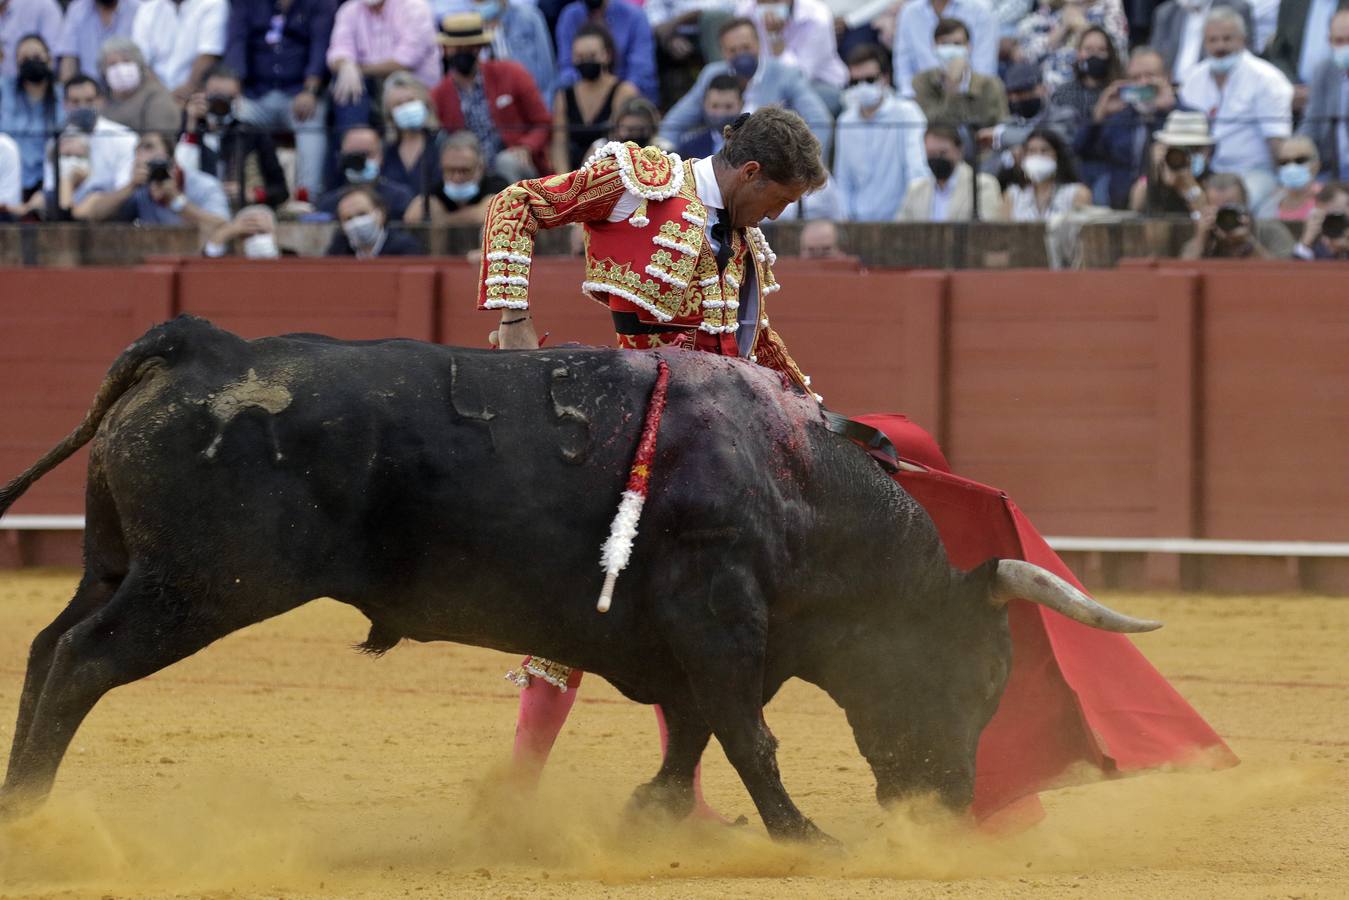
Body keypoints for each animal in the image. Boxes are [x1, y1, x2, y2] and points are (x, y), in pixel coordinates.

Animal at [0, 318, 1160, 847]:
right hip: (201, 586)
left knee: (47, 648)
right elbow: (745, 730)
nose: (951, 807)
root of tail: (201, 345)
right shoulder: (719, 616)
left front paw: (656, 813)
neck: (791, 482)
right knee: (85, 663)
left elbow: (697, 728)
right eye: (977, 674)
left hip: (122, 564)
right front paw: (801, 835)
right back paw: (44, 820)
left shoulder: (690, 638)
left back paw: (19, 804)